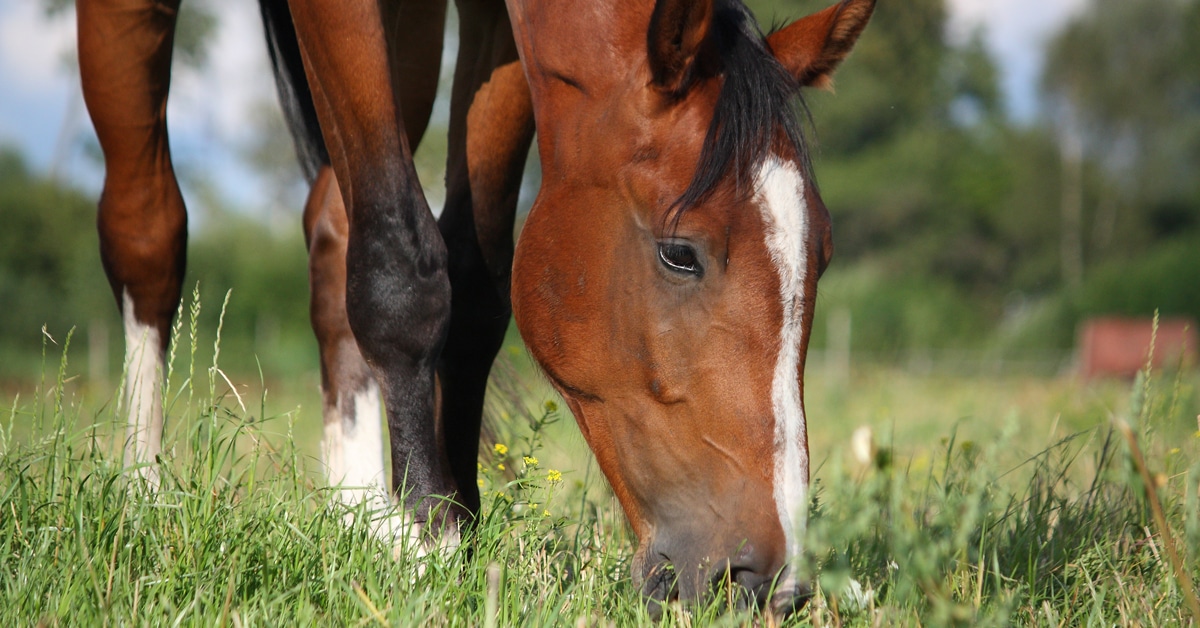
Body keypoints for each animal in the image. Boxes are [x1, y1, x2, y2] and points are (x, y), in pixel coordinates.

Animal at [77, 0, 873, 617]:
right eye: (680, 253)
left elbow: (475, 282)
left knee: (333, 228)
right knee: (148, 229)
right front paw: (425, 545)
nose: (770, 582)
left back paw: (356, 509)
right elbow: (402, 271)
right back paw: (143, 495)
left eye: (824, 254)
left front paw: (453, 528)